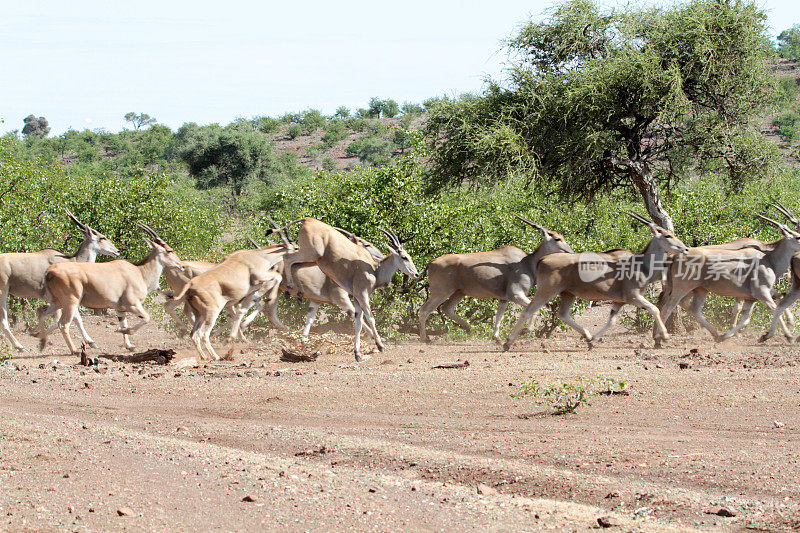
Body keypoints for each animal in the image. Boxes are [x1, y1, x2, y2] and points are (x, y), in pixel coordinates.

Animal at [0, 208, 119, 350]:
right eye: (102, 237)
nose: (117, 250)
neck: (72, 260)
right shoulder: (63, 297)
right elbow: (71, 319)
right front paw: (91, 341)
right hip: (3, 291)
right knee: (4, 320)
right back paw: (19, 346)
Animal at [418, 215, 576, 340]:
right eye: (557, 239)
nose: (571, 252)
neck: (527, 262)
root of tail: (431, 262)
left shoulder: (504, 298)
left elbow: (499, 316)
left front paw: (497, 338)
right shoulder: (515, 295)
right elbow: (537, 309)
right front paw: (525, 330)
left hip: (459, 292)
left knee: (447, 309)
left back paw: (469, 328)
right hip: (441, 292)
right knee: (424, 310)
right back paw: (425, 339)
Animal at [656, 214, 800, 342]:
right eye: (798, 237)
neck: (768, 258)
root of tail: (674, 256)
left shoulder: (751, 298)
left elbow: (746, 317)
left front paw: (727, 335)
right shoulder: (761, 293)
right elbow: (775, 308)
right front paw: (785, 334)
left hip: (700, 289)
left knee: (692, 308)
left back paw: (715, 334)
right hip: (682, 288)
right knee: (668, 308)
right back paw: (659, 339)